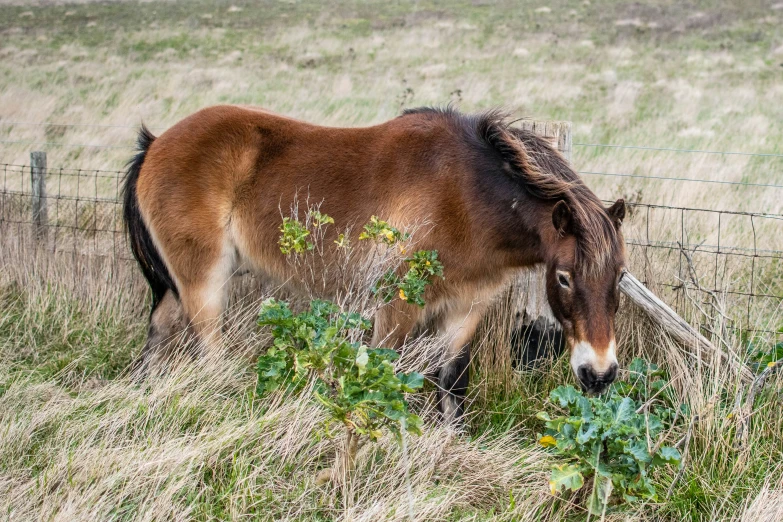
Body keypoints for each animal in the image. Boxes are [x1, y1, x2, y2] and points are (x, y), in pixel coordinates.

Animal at [121, 104, 624, 418]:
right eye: (564, 278)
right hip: (204, 282)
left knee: (157, 335)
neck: (466, 195)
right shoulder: (397, 306)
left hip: (175, 289)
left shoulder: (465, 309)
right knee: (210, 351)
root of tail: (156, 143)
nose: (599, 374)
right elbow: (388, 375)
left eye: (619, 278)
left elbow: (452, 385)